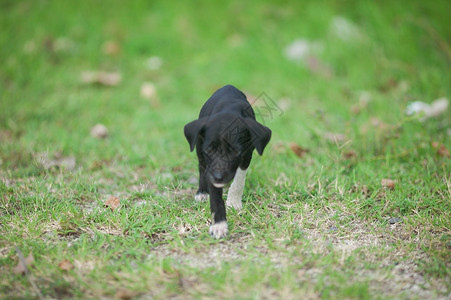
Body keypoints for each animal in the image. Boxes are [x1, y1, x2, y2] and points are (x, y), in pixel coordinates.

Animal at [185, 85, 272, 239]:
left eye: (235, 152)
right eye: (210, 149)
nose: (218, 177)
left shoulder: (246, 154)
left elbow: (239, 180)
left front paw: (233, 202)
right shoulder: (210, 166)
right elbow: (215, 198)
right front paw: (219, 225)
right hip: (199, 149)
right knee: (201, 168)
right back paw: (202, 192)